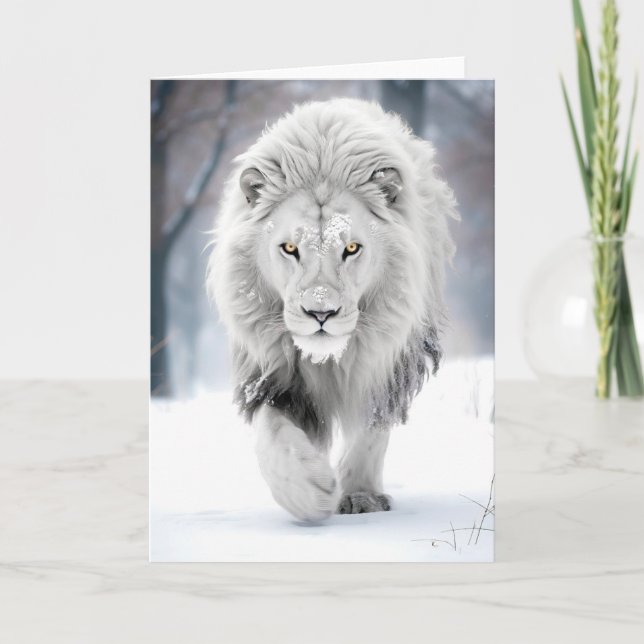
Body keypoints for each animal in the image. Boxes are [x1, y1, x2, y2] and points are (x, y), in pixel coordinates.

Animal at [208, 98, 457, 521]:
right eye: (290, 248)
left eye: (351, 248)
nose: (320, 314)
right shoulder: (270, 372)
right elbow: (272, 434)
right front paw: (309, 490)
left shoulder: (389, 361)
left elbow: (371, 428)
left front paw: (359, 496)